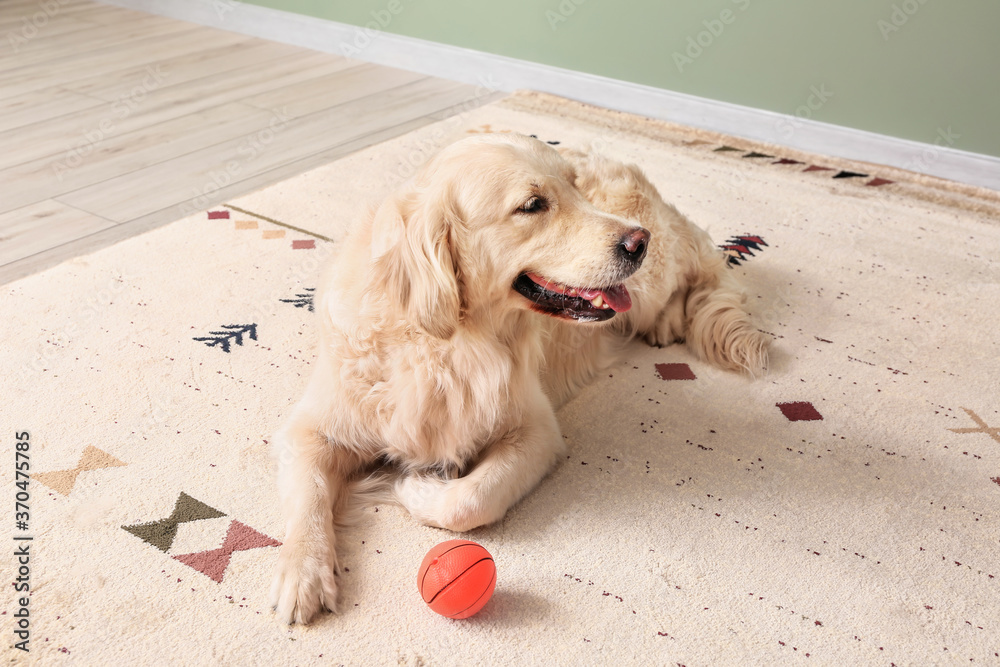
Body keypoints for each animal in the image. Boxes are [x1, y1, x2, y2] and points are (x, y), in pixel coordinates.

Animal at [270, 133, 768, 624]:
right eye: (532, 205)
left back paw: (667, 321)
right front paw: (304, 572)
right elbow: (308, 494)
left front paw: (417, 489)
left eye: (574, 187)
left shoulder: (538, 431)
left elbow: (470, 501)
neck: (448, 344)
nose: (636, 242)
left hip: (652, 280)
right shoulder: (313, 427)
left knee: (683, 284)